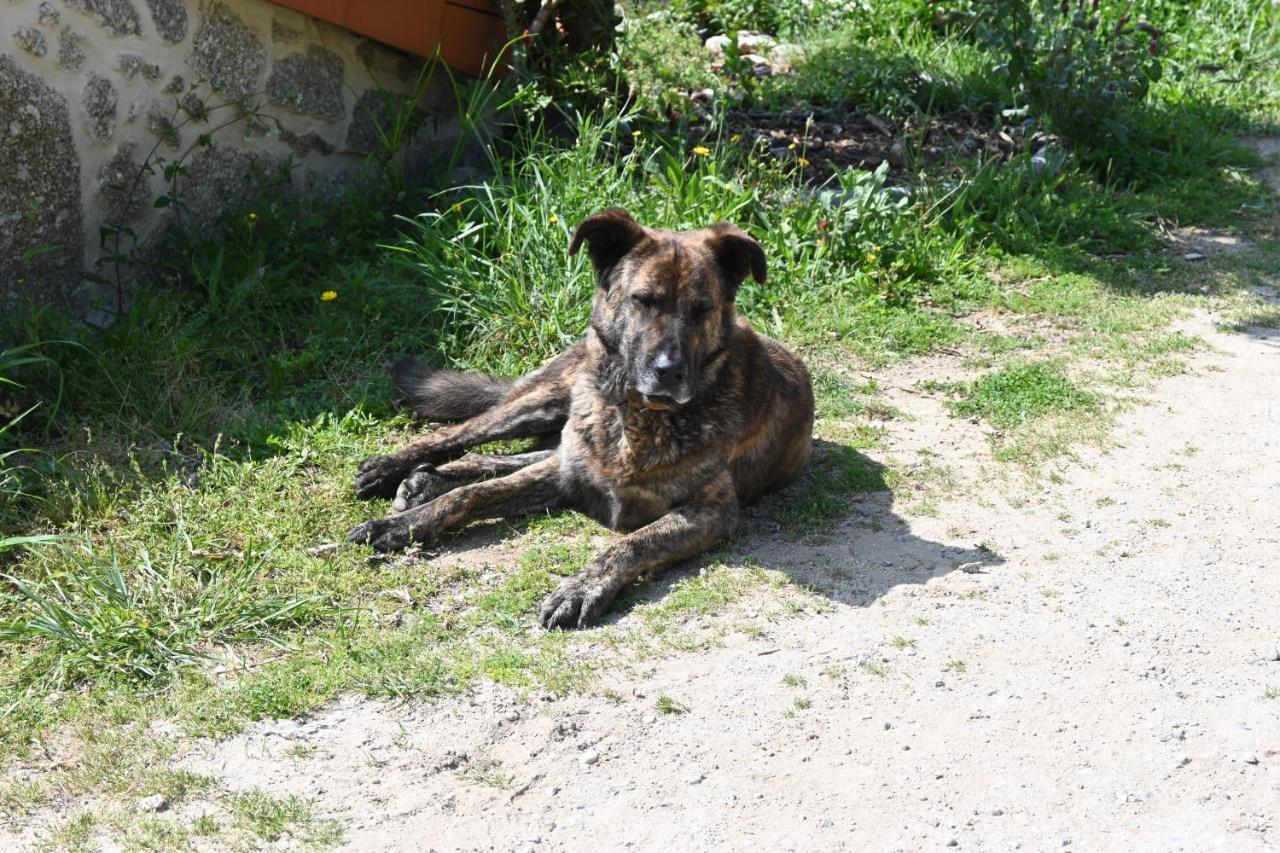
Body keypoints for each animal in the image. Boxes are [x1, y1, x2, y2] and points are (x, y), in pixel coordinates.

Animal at [345, 208, 814, 627]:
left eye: (702, 309)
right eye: (643, 300)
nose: (671, 371)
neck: (635, 418)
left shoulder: (711, 512)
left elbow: (632, 544)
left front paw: (581, 587)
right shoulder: (568, 473)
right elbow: (473, 496)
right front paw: (401, 525)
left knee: (517, 454)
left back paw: (427, 480)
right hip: (545, 402)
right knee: (470, 433)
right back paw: (392, 468)